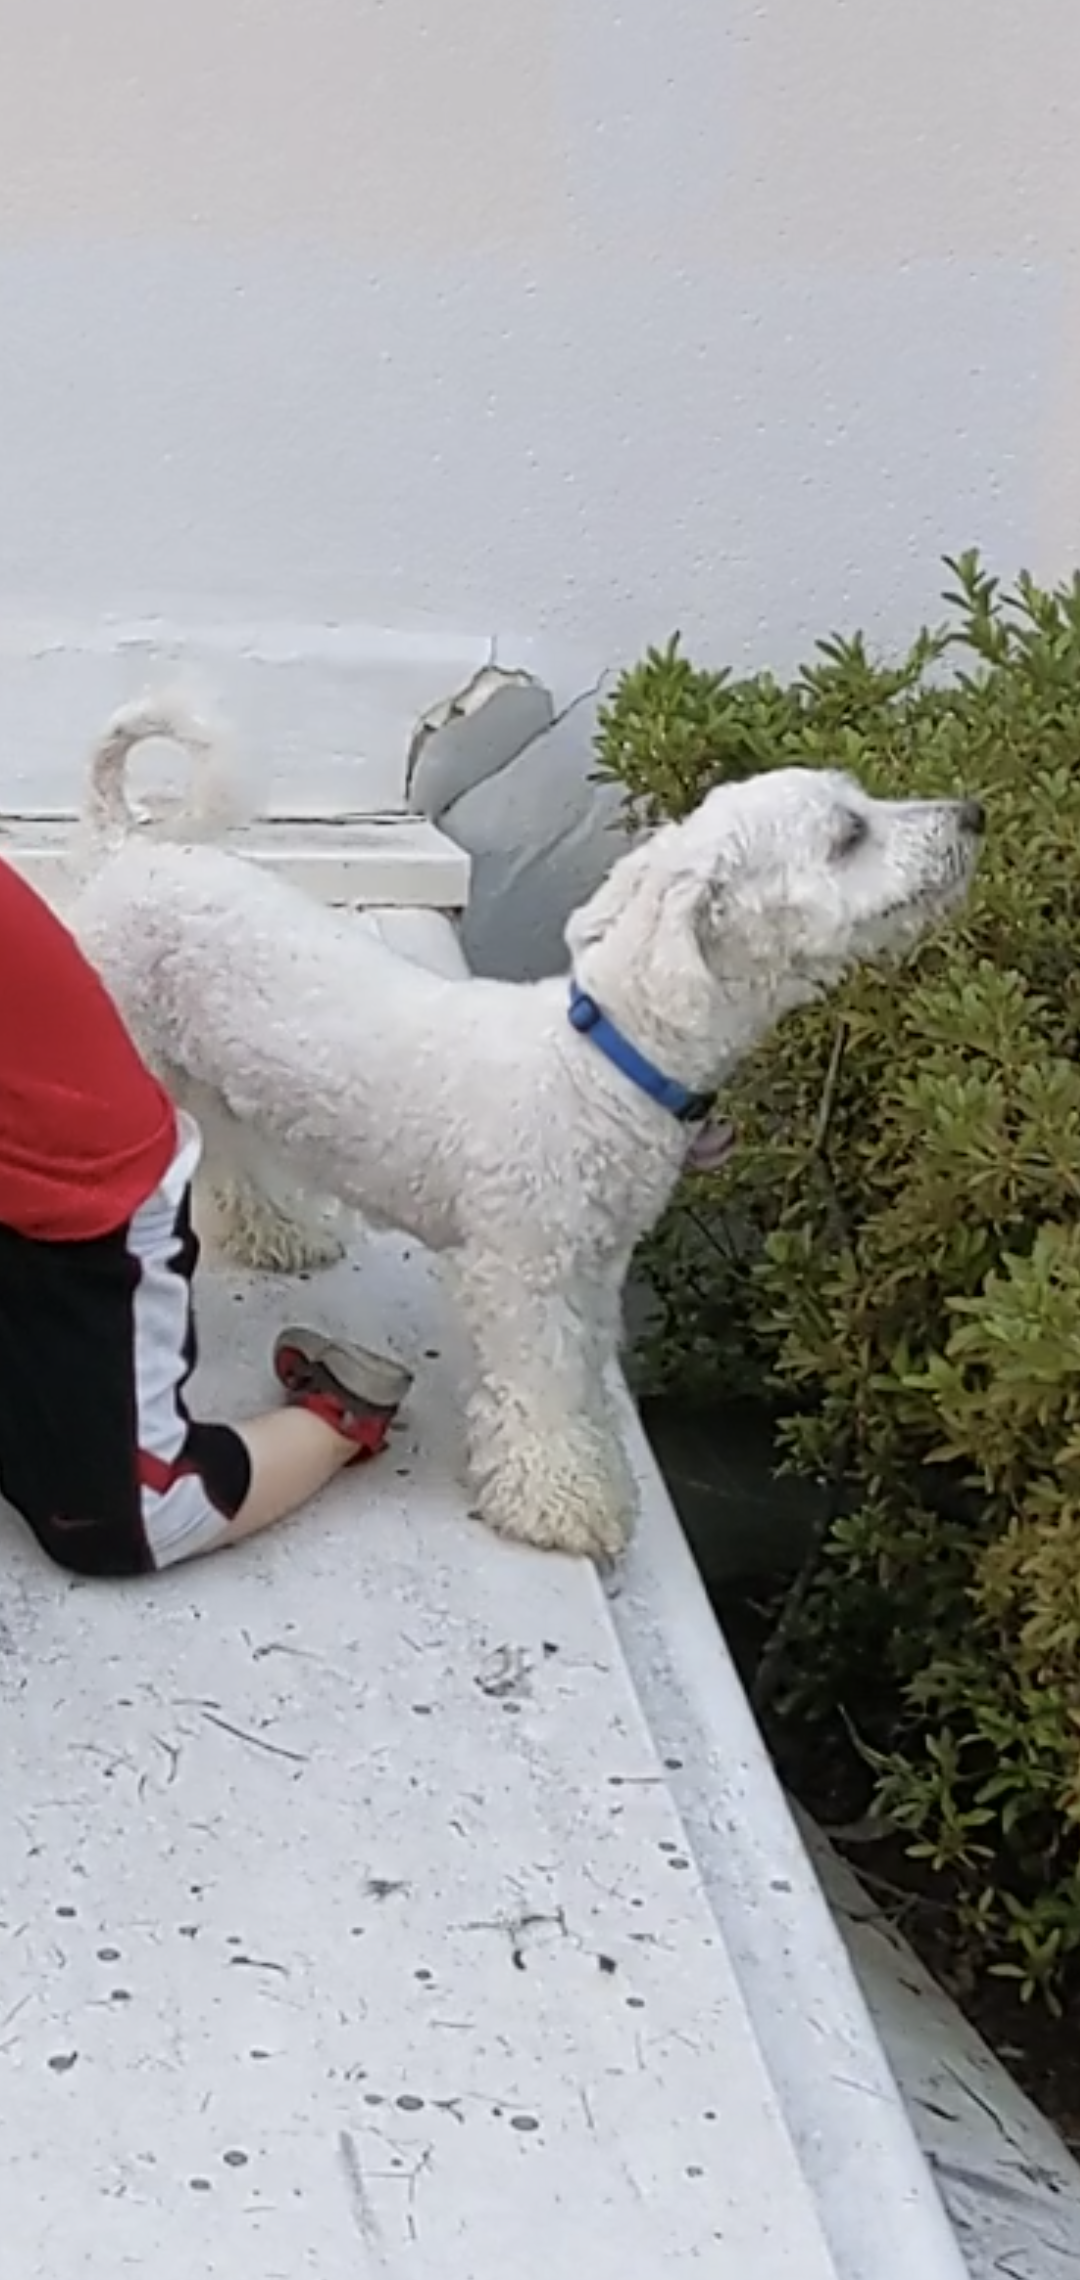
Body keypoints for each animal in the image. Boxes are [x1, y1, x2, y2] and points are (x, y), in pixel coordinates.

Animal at [68, 699, 984, 1562]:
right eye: (847, 834)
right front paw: (559, 1502)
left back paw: (275, 1232)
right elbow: (539, 1386)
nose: (972, 815)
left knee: (225, 1159)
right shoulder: (523, 1275)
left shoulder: (593, 1271)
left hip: (205, 1074)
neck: (605, 1063)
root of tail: (124, 847)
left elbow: (580, 1375)